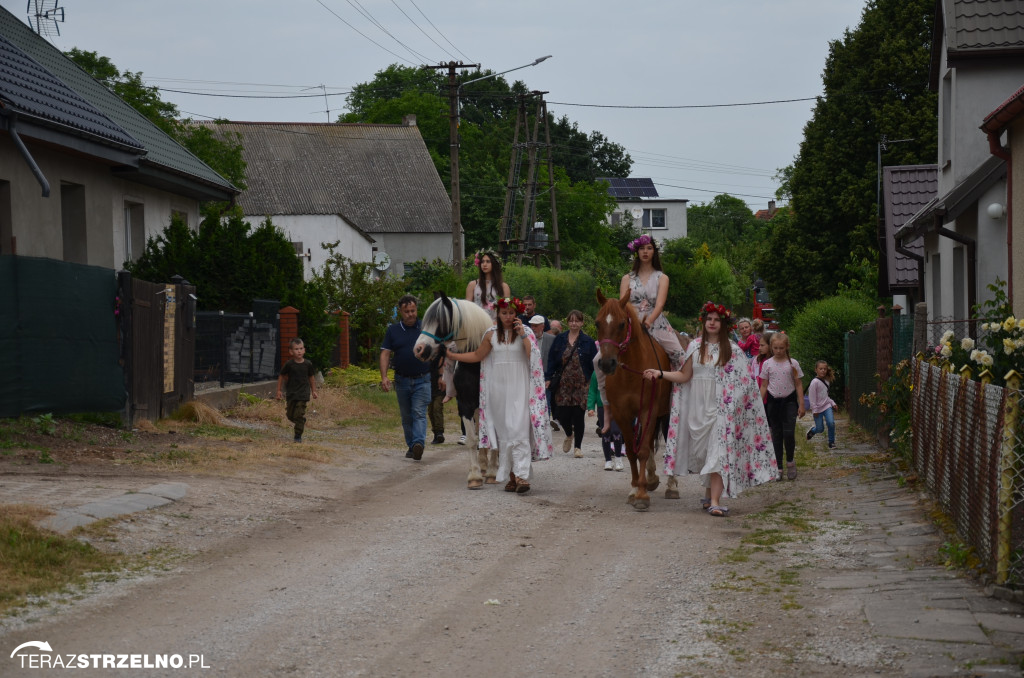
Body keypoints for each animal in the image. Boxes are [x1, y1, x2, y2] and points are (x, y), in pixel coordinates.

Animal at [598, 288, 675, 512]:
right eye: (597, 323)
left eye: (622, 324)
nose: (607, 363)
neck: (631, 373)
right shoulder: (622, 415)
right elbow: (633, 451)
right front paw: (634, 489)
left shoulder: (648, 411)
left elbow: (642, 451)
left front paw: (641, 495)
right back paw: (651, 479)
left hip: (666, 413)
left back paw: (671, 486)